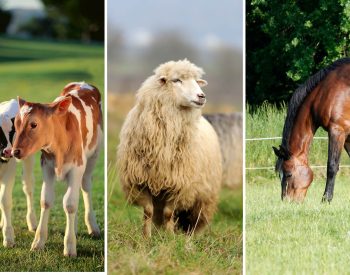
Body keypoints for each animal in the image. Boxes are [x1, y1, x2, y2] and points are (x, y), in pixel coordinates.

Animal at [11, 82, 102, 258]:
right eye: (16, 123)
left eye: (34, 124)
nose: (15, 151)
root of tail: (83, 83)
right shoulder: (46, 166)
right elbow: (46, 200)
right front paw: (38, 242)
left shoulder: (77, 167)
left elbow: (70, 203)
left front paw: (70, 247)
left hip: (93, 155)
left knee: (85, 187)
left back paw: (92, 226)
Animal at [117, 59, 221, 237]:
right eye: (176, 80)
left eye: (196, 81)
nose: (201, 96)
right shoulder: (140, 181)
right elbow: (148, 212)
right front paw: (146, 237)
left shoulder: (180, 184)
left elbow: (168, 213)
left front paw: (170, 238)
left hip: (205, 196)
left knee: (197, 219)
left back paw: (191, 237)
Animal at [274, 58, 350, 204]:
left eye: (288, 174)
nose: (287, 201)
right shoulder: (348, 136)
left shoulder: (337, 130)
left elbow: (332, 166)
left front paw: (326, 199)